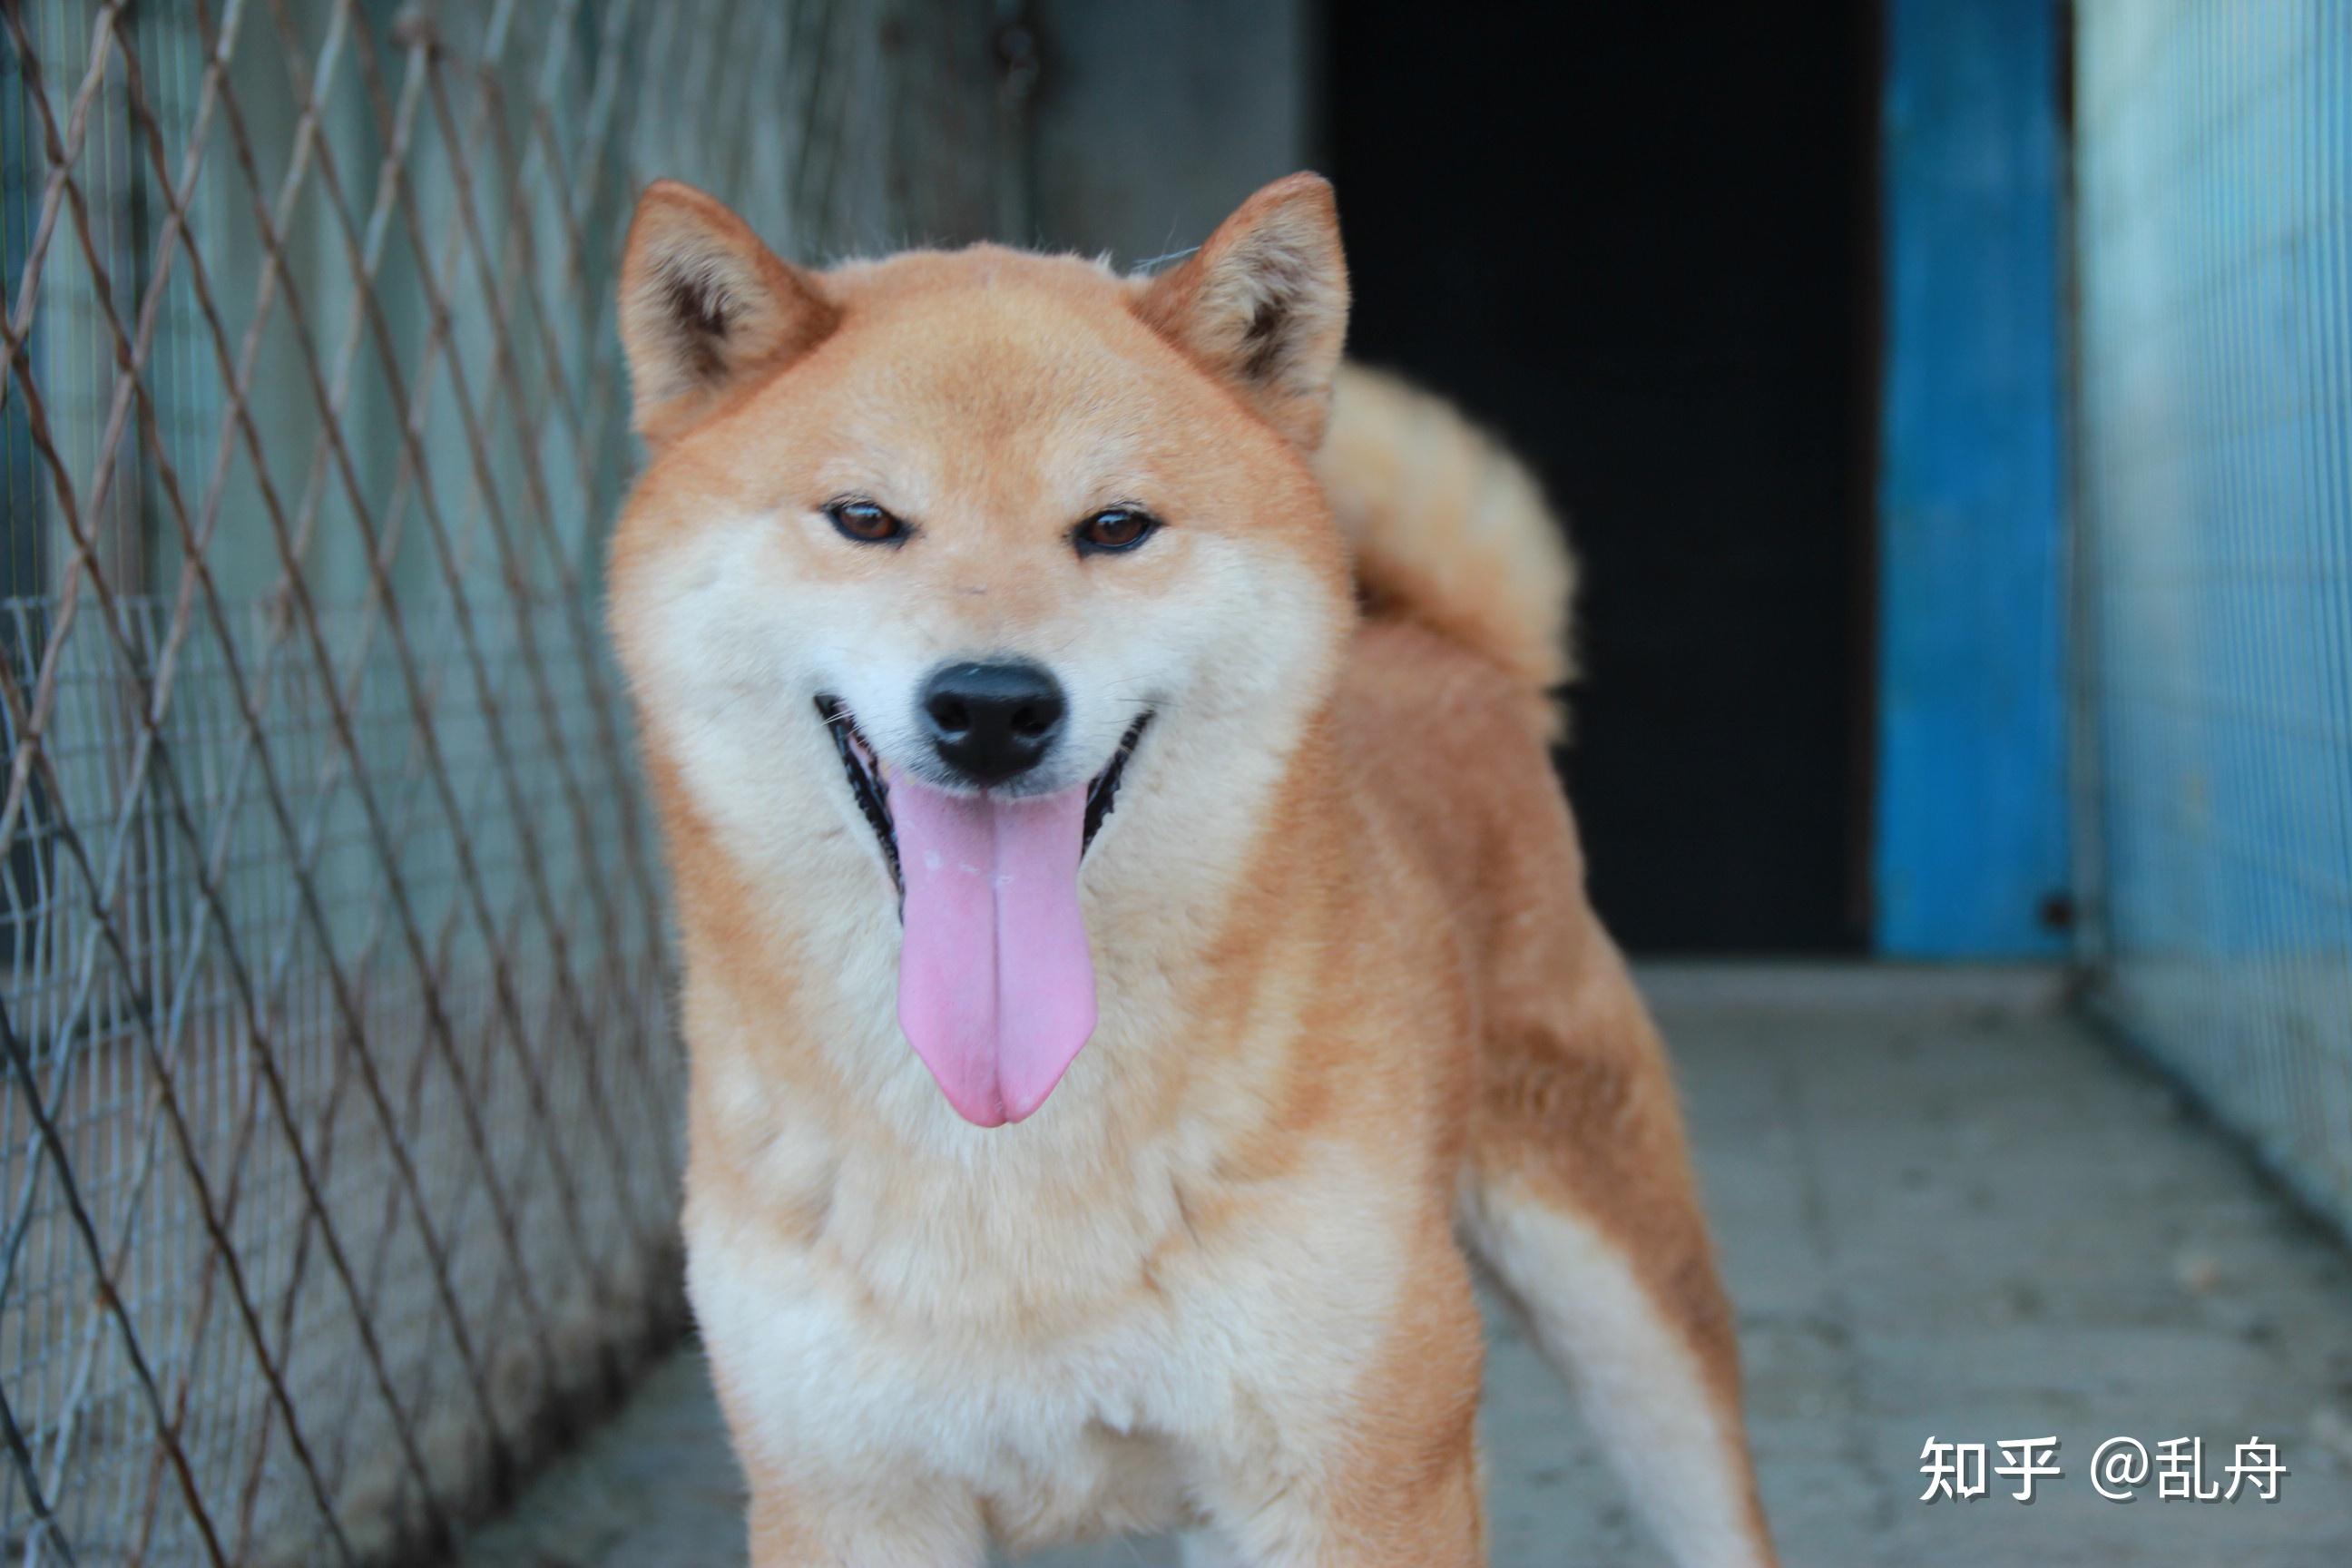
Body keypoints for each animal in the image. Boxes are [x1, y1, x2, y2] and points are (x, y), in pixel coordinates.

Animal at [597, 172, 1769, 1568]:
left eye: (1115, 527)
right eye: (867, 520)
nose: (991, 706)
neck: (1008, 1143)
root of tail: (1442, 648)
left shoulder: (1357, 1482)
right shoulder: (851, 1500)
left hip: (1627, 1319)